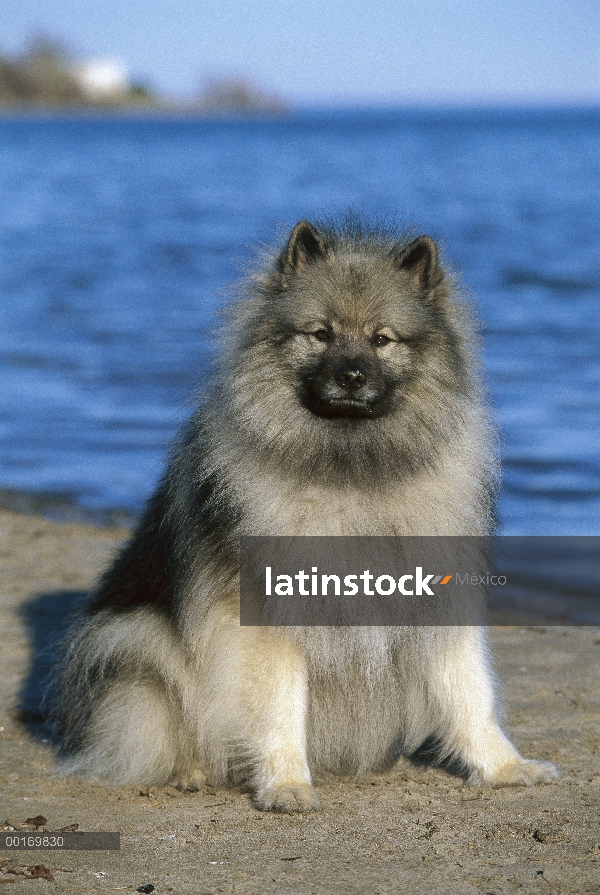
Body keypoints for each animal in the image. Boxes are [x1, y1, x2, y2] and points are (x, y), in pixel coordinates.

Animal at [56, 215, 556, 812]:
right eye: (321, 334)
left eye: (382, 339)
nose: (352, 376)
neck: (352, 471)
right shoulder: (268, 617)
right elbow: (279, 707)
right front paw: (287, 783)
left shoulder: (436, 595)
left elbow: (471, 694)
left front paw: (505, 766)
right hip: (136, 640)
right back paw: (192, 770)